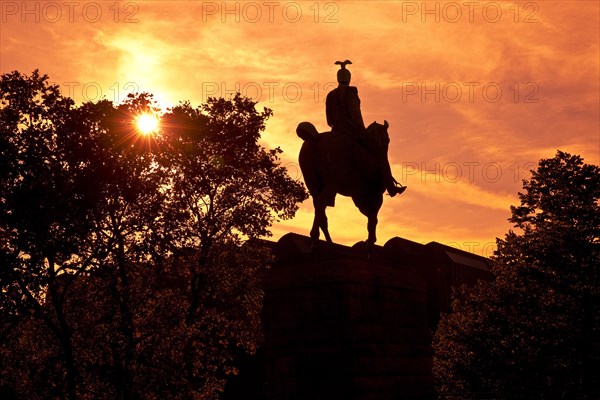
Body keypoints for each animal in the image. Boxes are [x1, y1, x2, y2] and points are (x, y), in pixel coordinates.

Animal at [298, 120, 392, 252]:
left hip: (313, 184)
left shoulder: (360, 198)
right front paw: (370, 244)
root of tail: (316, 137)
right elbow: (373, 219)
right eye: (387, 139)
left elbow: (371, 217)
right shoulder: (376, 196)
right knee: (321, 203)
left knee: (319, 209)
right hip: (332, 183)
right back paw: (316, 239)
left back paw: (328, 243)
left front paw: (370, 242)